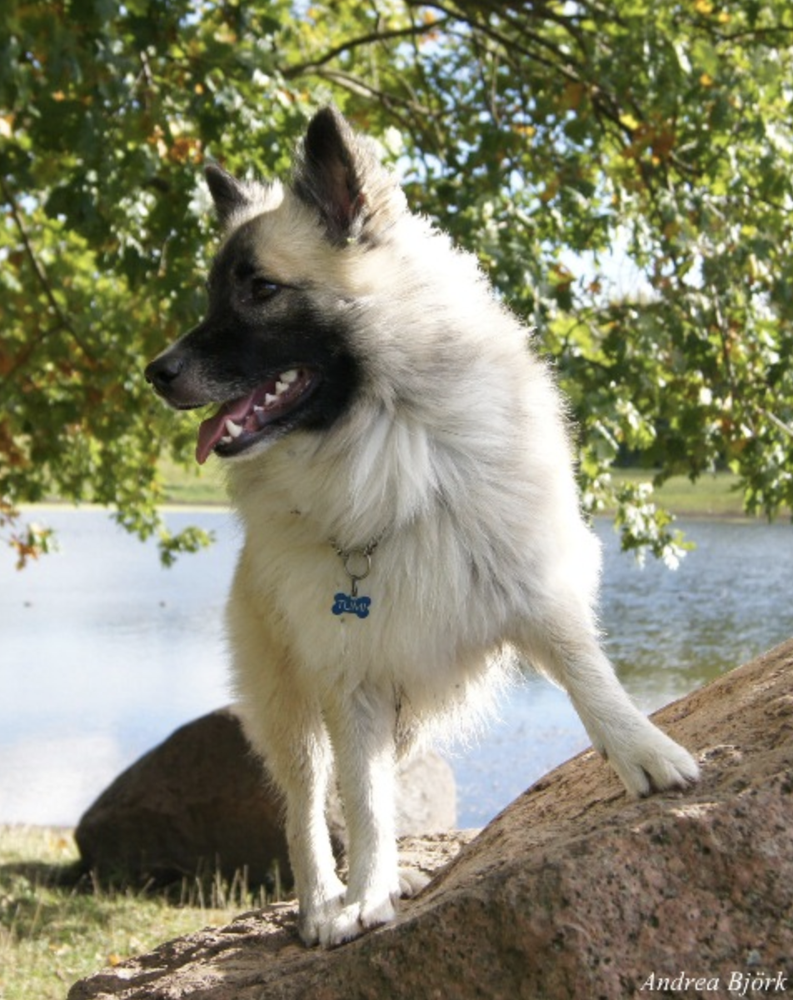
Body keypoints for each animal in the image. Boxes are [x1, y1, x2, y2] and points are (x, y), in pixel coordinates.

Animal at [145, 105, 696, 948]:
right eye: (214, 295)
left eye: (260, 290)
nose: (157, 372)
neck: (383, 437)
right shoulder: (351, 678)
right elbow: (363, 805)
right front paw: (364, 897)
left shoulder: (531, 591)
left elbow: (589, 678)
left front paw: (645, 753)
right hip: (289, 708)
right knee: (307, 806)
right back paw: (321, 903)